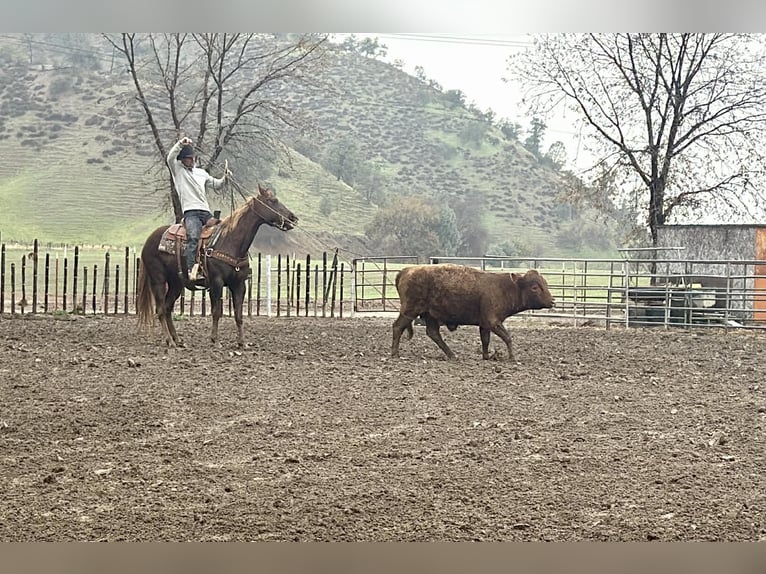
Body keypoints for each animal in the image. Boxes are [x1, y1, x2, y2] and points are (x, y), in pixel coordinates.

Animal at [136, 183, 298, 348]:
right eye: (273, 200)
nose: (293, 218)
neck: (230, 241)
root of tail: (150, 239)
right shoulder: (216, 283)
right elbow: (216, 312)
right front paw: (215, 340)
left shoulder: (239, 284)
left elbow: (238, 315)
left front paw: (242, 342)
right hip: (158, 279)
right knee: (161, 309)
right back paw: (170, 340)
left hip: (176, 283)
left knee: (168, 307)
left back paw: (178, 340)